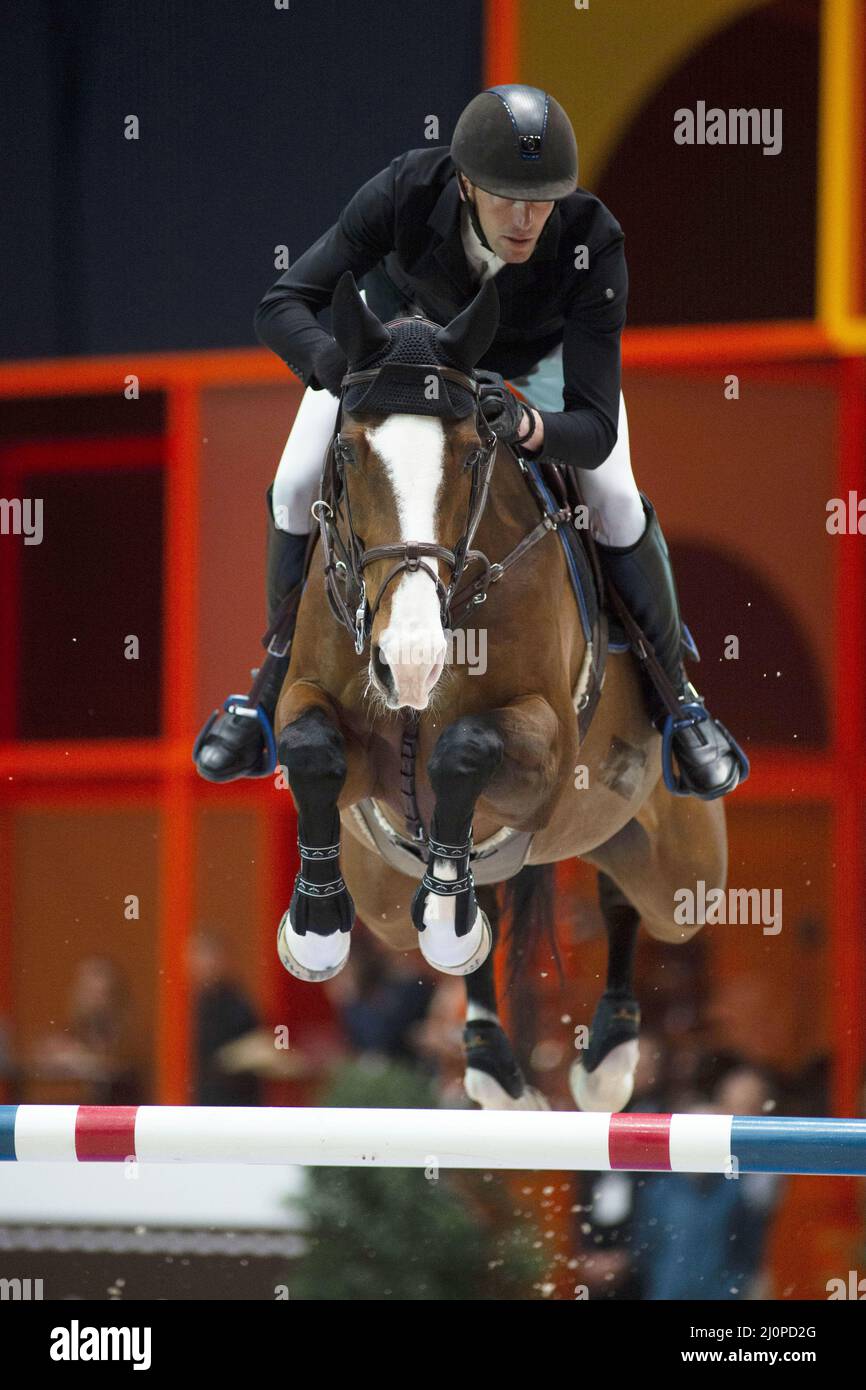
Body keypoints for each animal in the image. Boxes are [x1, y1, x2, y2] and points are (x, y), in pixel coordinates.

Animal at [273, 271, 728, 1112]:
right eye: (346, 453)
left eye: (471, 455)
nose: (410, 660)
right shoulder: (323, 713)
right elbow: (311, 745)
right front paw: (315, 927)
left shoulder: (545, 751)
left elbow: (465, 748)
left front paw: (446, 920)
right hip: (380, 891)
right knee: (441, 903)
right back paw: (490, 1055)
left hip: (683, 869)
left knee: (630, 899)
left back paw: (608, 1057)